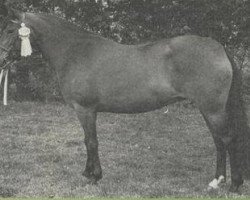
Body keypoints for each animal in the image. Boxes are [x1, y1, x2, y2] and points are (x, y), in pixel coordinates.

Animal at [0, 8, 249, 194]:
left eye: (11, 30)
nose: (1, 59)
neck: (75, 52)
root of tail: (219, 49)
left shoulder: (85, 110)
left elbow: (91, 142)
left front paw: (94, 177)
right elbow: (88, 141)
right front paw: (88, 173)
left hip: (213, 110)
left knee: (228, 140)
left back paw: (235, 185)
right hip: (208, 110)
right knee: (218, 142)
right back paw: (216, 181)